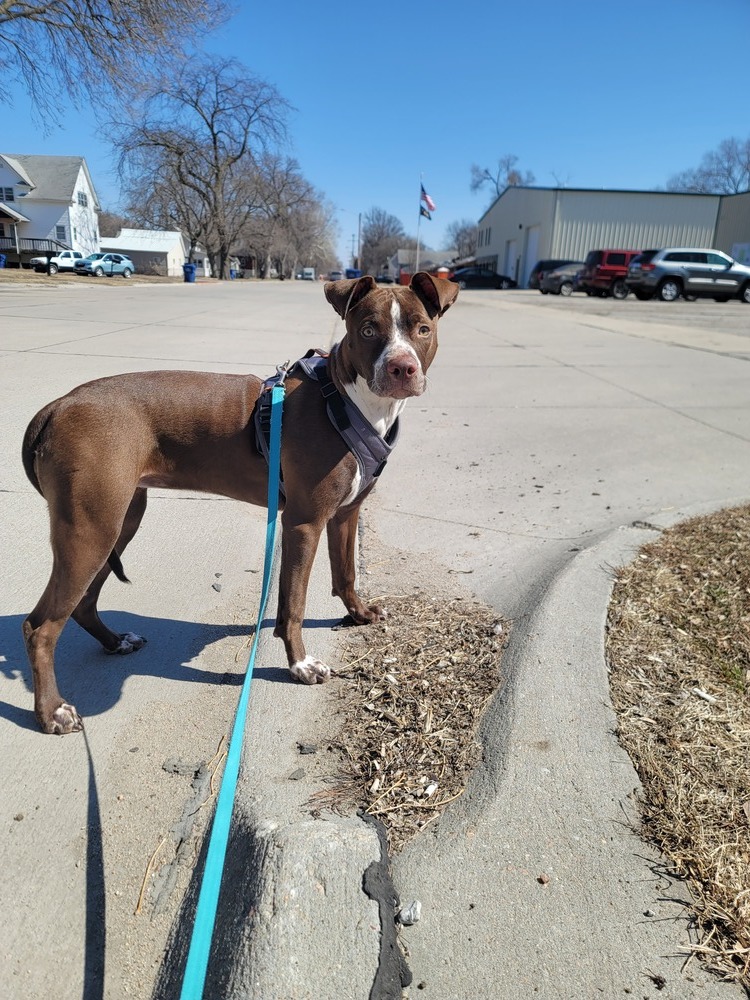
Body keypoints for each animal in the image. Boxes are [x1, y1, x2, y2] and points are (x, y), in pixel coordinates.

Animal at [23, 274, 458, 736]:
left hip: (119, 521)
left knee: (84, 602)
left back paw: (114, 642)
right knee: (40, 626)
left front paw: (357, 615)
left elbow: (346, 574)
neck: (345, 400)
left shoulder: (345, 513)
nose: (402, 368)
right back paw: (52, 712)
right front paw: (300, 665)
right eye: (369, 330)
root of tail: (57, 406)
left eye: (422, 329)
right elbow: (294, 602)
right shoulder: (303, 523)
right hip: (91, 529)